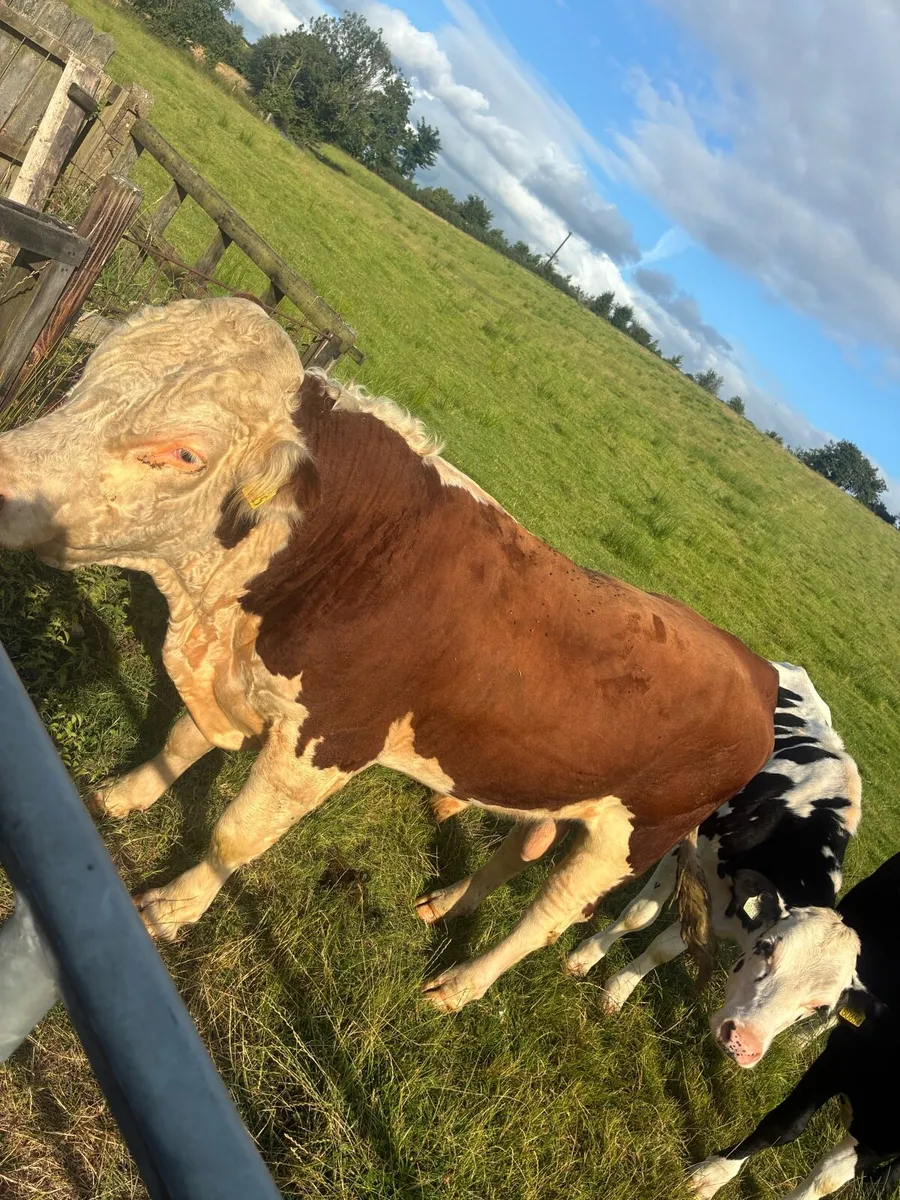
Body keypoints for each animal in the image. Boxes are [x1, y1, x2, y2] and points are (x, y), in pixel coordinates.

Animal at [0, 297, 779, 1012]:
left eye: (185, 453)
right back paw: (451, 903)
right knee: (512, 855)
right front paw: (123, 794)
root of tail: (758, 670)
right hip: (556, 790)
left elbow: (234, 837)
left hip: (628, 841)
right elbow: (182, 741)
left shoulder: (329, 743)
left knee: (550, 916)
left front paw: (171, 908)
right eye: (90, 377)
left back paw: (461, 986)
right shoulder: (243, 675)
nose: (5, 481)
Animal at [565, 664, 862, 1030]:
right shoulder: (690, 850)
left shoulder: (722, 908)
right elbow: (640, 915)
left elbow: (666, 948)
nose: (747, 1038)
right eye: (768, 951)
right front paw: (583, 958)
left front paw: (619, 990)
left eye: (817, 1008)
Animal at [689, 850, 900, 1199]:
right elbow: (782, 1126)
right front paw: (711, 1174)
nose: (742, 1041)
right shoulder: (836, 1061)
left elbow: (828, 1177)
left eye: (820, 1005)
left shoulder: (884, 1140)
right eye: (766, 947)